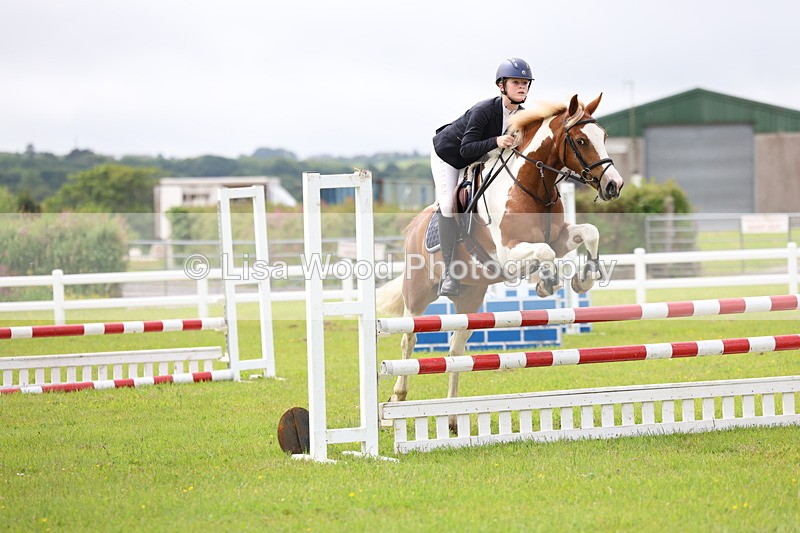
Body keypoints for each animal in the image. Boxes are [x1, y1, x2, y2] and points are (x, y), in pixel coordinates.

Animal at [376, 93, 625, 429]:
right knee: (408, 339)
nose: (614, 185)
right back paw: (395, 405)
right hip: (418, 292)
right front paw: (547, 283)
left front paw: (584, 279)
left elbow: (589, 232)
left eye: (605, 137)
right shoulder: (509, 253)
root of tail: (414, 226)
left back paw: (451, 417)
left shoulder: (559, 238)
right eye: (582, 140)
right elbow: (545, 254)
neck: (533, 184)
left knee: (456, 349)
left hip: (469, 297)